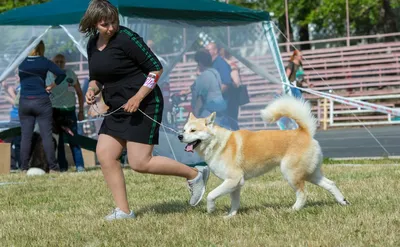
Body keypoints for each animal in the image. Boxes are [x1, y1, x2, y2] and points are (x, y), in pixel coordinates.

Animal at [180, 95, 348, 217]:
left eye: (193, 131)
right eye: (184, 129)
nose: (179, 136)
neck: (218, 143)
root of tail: (304, 132)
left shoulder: (233, 179)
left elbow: (211, 195)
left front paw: (211, 210)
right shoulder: (236, 184)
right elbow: (235, 203)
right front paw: (230, 216)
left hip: (291, 173)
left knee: (302, 194)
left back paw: (293, 209)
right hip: (311, 173)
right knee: (330, 184)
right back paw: (343, 201)